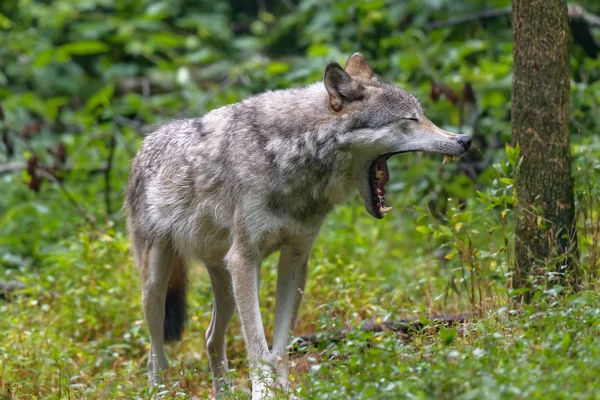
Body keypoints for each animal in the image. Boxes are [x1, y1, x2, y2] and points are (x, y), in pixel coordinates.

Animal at [126, 52, 472, 396]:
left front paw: (282, 391)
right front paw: (264, 393)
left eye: (423, 115)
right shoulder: (244, 259)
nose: (465, 139)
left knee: (211, 339)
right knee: (155, 354)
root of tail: (144, 144)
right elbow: (258, 348)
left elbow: (279, 348)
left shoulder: (295, 258)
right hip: (157, 286)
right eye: (410, 120)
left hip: (224, 287)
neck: (290, 157)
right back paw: (158, 389)